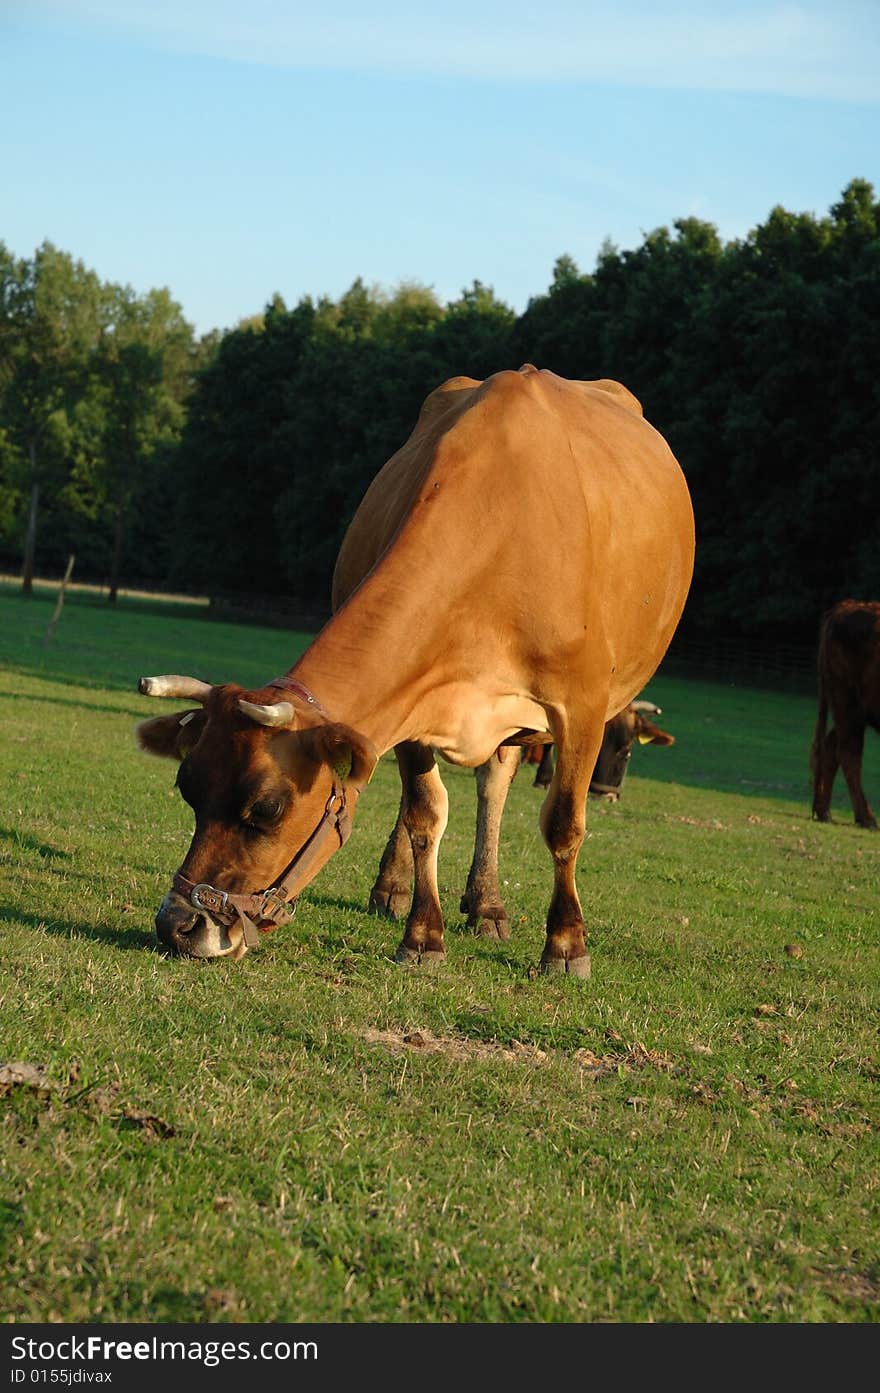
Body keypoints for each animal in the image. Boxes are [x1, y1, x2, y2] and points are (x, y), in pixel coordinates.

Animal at [135, 370, 693, 980]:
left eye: (266, 809)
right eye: (188, 789)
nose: (178, 926)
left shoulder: (582, 707)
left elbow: (564, 823)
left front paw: (566, 945)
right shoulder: (412, 703)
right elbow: (425, 814)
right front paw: (424, 935)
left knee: (496, 784)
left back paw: (488, 905)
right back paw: (400, 890)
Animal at [813, 596, 880, 824]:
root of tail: (846, 606)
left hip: (851, 711)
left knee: (831, 747)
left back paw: (824, 812)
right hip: (848, 705)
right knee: (849, 753)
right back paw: (867, 819)